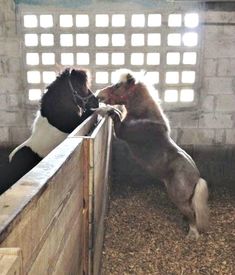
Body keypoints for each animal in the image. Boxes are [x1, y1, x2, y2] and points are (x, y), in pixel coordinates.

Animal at [96, 70, 208, 240]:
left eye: (117, 85)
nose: (98, 95)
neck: (143, 117)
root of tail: (196, 177)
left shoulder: (121, 132)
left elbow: (115, 113)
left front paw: (103, 110)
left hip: (179, 199)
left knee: (192, 215)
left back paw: (192, 235)